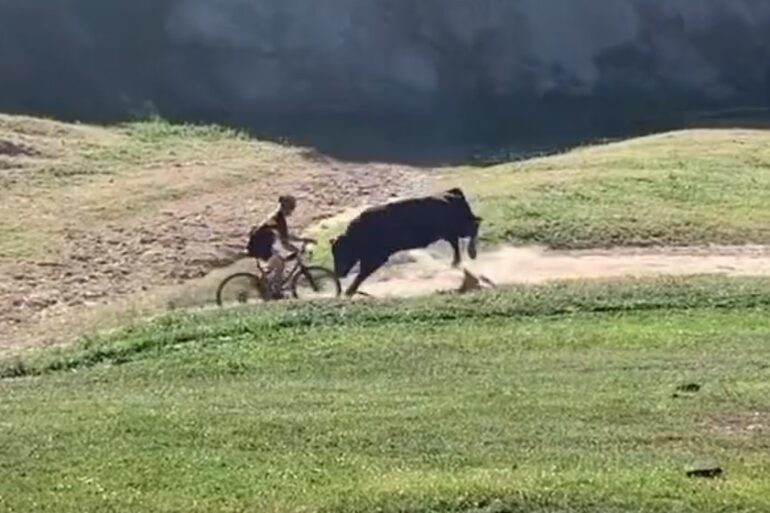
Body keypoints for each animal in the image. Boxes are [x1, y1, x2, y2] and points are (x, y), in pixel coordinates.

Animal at [330, 188, 482, 296]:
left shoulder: (376, 258)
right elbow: (362, 274)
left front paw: (349, 291)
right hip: (449, 233)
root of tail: (451, 193)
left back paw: (472, 253)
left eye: (342, 252)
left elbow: (361, 274)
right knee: (457, 242)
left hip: (460, 227)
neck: (356, 236)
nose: (338, 273)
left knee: (474, 226)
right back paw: (455, 263)